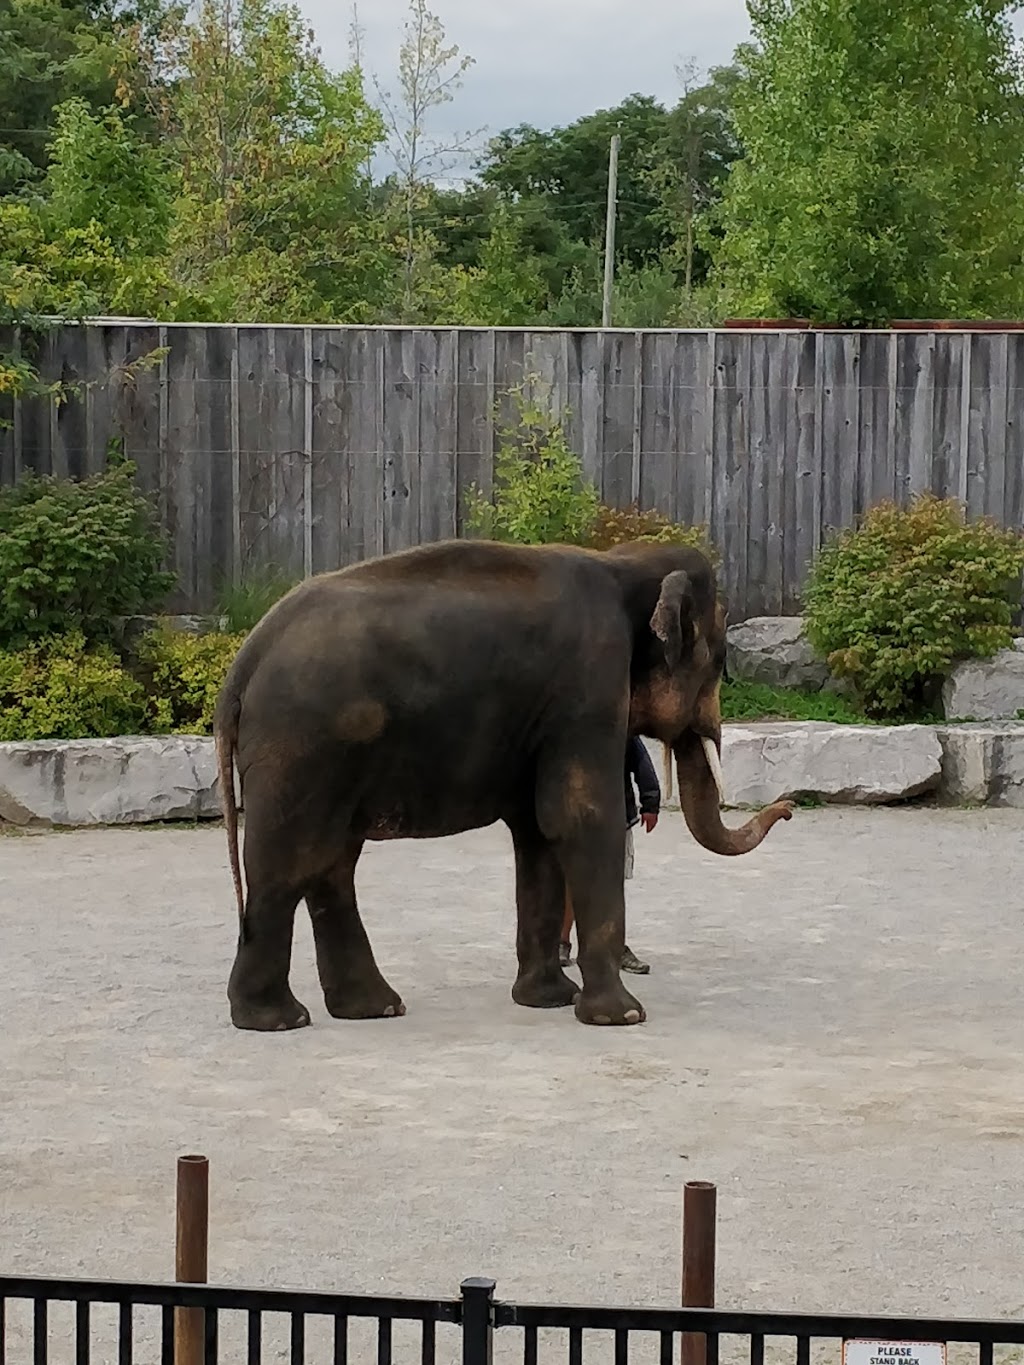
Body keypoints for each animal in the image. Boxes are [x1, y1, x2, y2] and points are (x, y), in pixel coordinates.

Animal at [214, 537, 791, 1026]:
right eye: (719, 660)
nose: (787, 807)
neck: (622, 561)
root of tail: (244, 662)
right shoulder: (587, 685)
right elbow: (582, 817)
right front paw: (622, 1016)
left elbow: (539, 832)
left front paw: (551, 1001)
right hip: (301, 746)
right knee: (289, 863)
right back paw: (278, 1020)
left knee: (331, 864)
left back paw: (372, 1008)